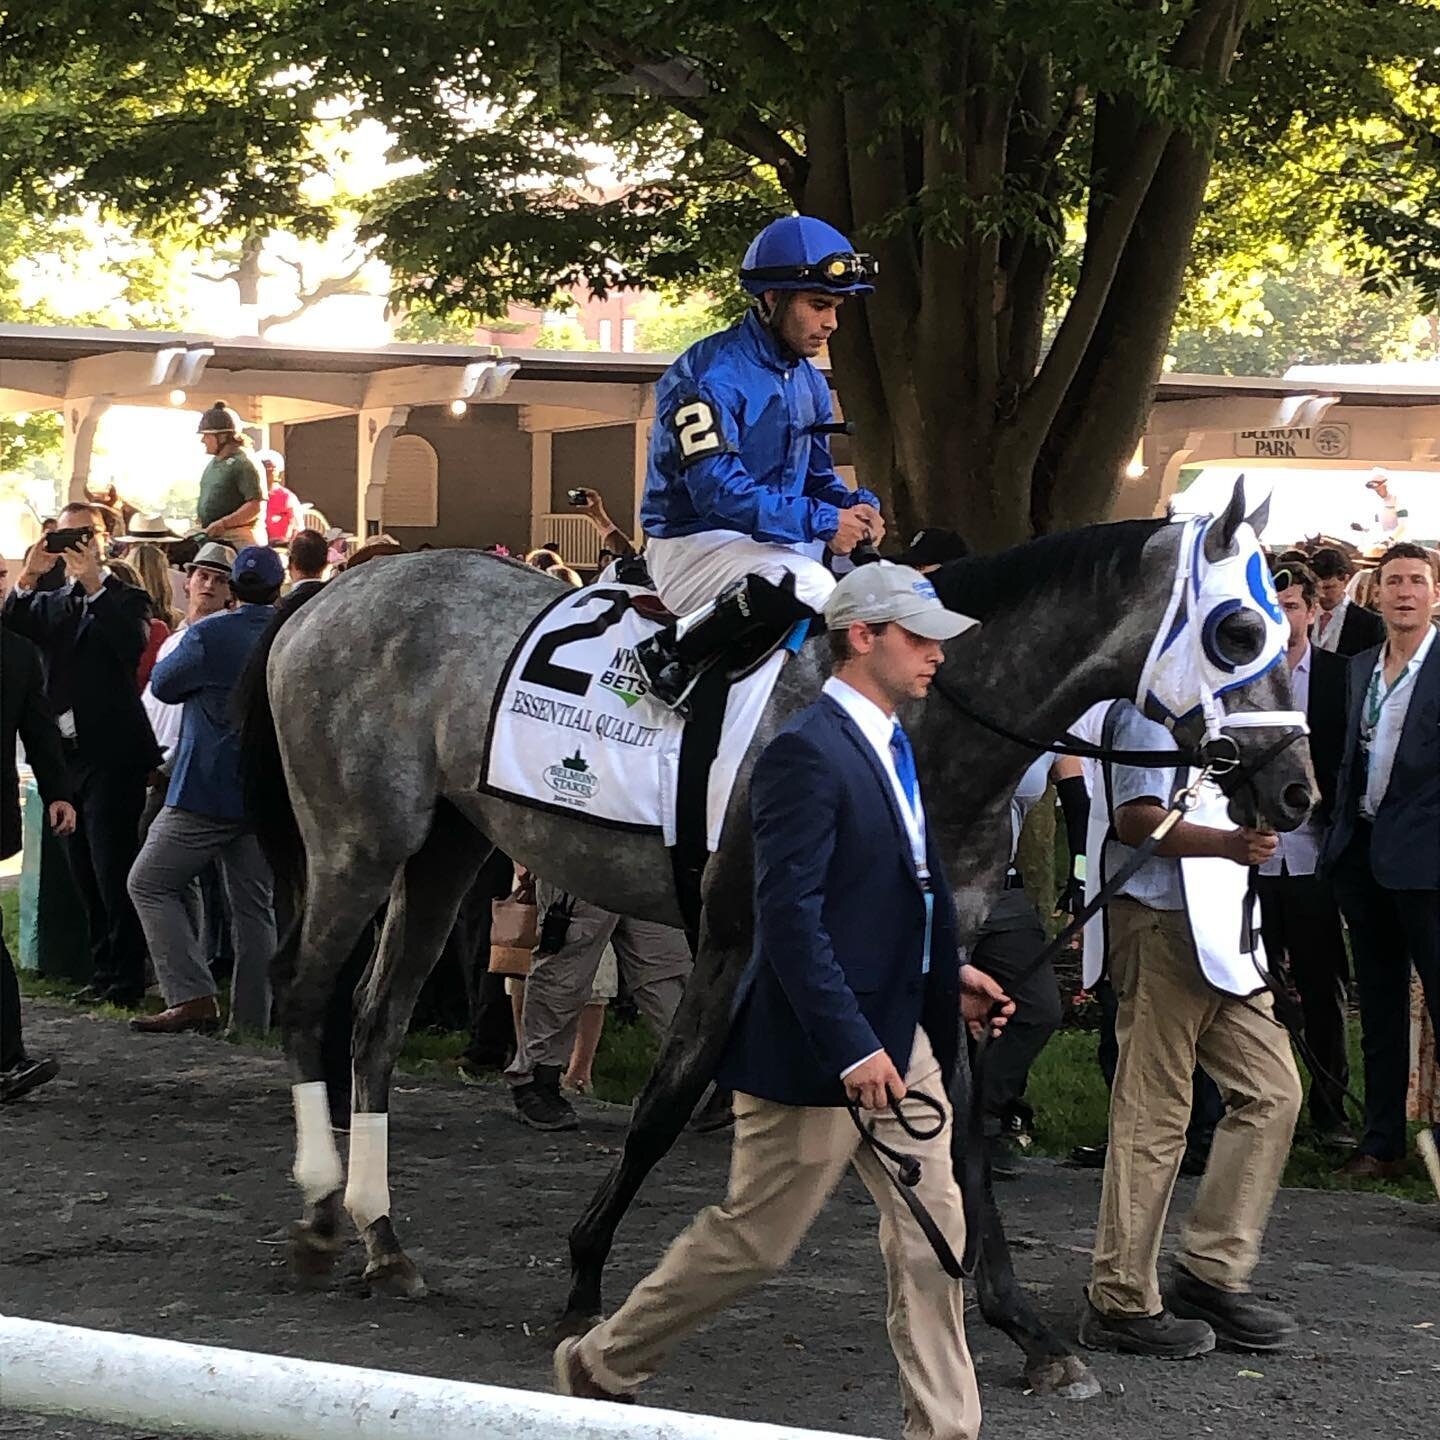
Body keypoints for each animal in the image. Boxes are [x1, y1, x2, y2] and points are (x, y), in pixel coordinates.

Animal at [241, 478, 1313, 1399]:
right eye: (1239, 630)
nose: (1298, 791)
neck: (920, 722)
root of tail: (330, 594)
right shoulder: (738, 934)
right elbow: (665, 1104)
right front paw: (585, 1281)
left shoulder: (935, 955)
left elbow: (963, 1139)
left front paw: (1028, 1330)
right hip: (358, 842)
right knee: (306, 995)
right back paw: (319, 1216)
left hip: (445, 846)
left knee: (376, 1019)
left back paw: (383, 1240)